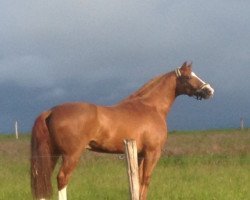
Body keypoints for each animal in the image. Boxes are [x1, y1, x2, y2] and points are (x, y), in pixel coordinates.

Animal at [30, 61, 214, 199]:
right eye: (189, 76)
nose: (209, 90)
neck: (151, 107)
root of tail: (51, 111)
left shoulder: (138, 154)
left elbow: (136, 182)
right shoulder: (152, 153)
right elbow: (145, 180)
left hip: (52, 154)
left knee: (43, 179)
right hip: (71, 155)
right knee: (62, 179)